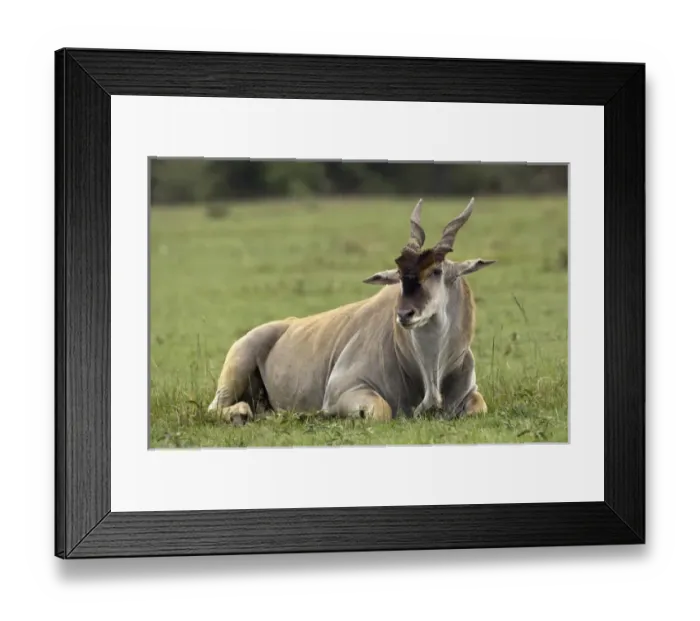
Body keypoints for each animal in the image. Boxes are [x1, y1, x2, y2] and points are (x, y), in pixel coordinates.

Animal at [208, 198, 496, 425]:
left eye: (436, 271)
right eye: (400, 276)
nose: (405, 314)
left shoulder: (472, 396)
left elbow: (478, 406)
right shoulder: (343, 391)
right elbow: (381, 410)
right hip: (237, 369)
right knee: (217, 408)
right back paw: (243, 414)